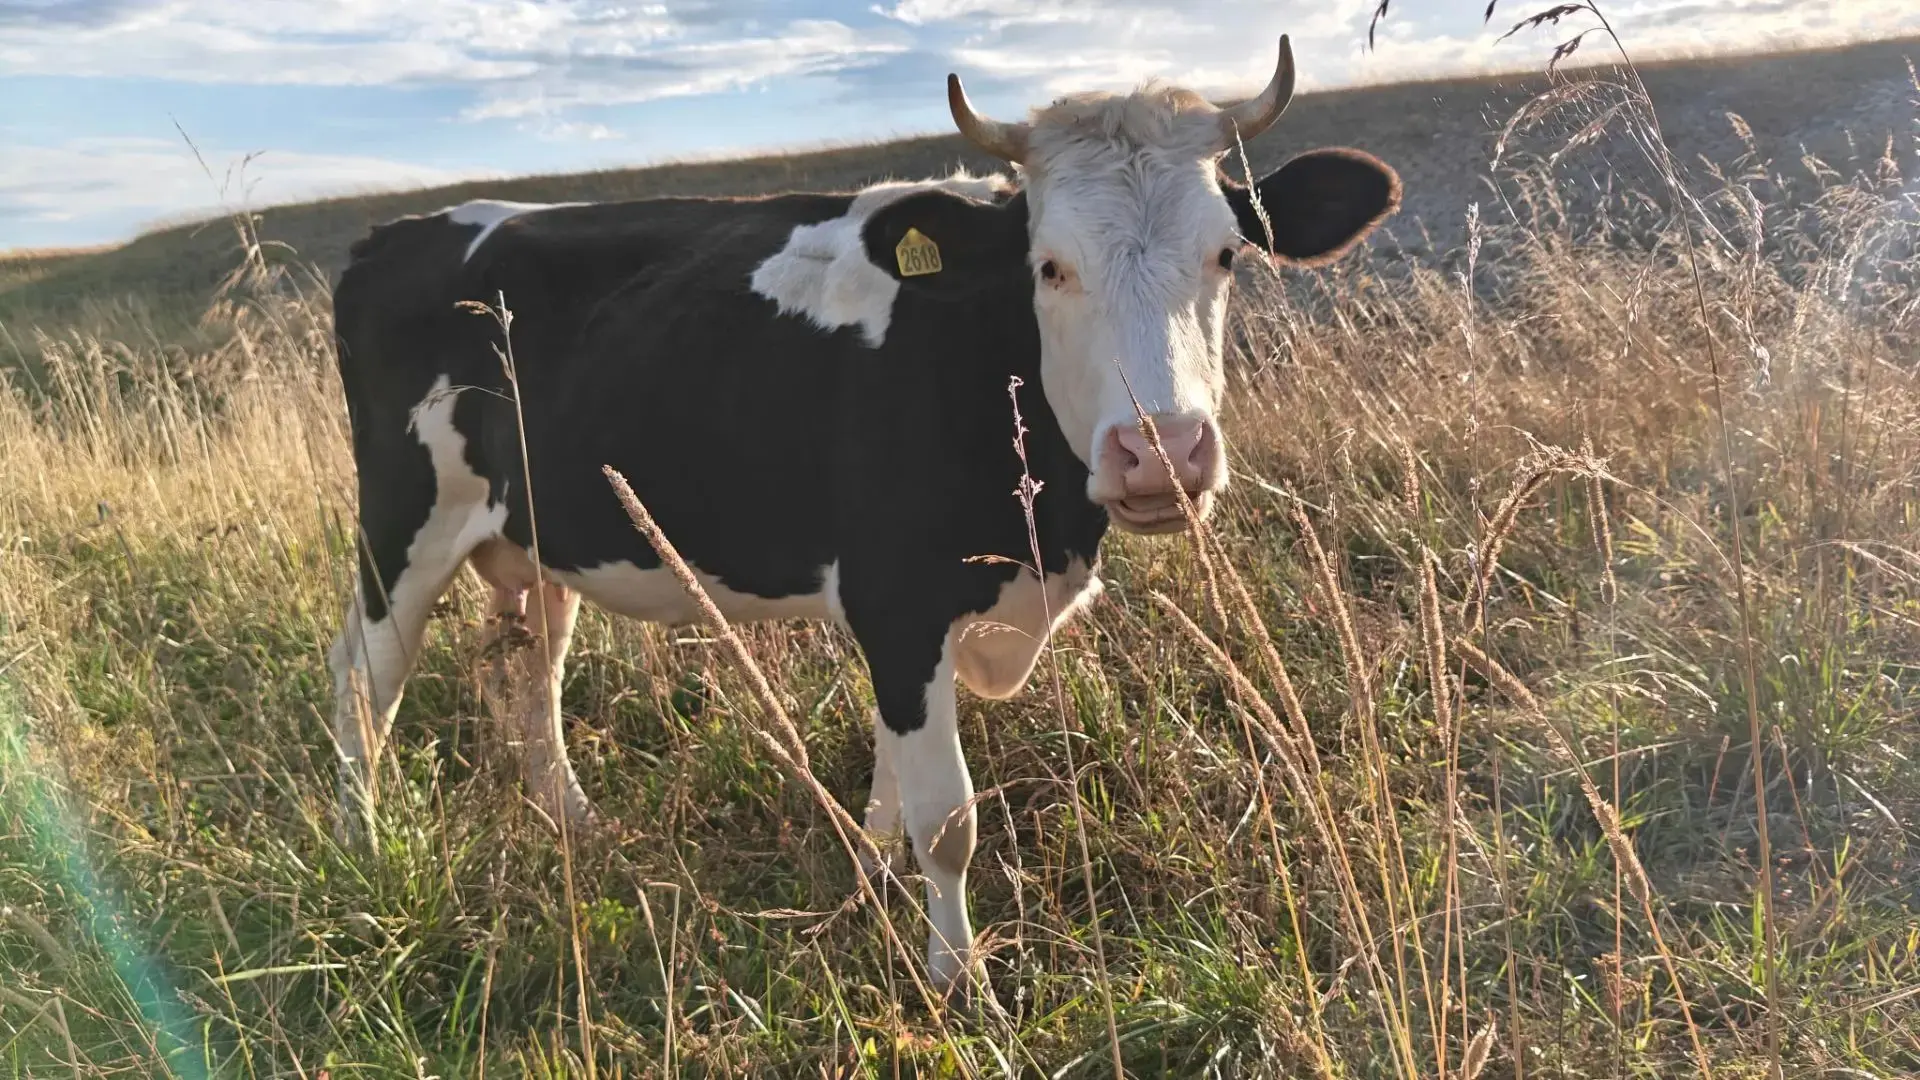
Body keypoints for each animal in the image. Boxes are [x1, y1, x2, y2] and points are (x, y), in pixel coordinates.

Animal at [326, 35, 1400, 994]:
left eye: (1226, 254)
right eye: (1049, 266)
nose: (1162, 453)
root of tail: (396, 232)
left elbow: (891, 789)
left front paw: (875, 884)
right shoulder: (898, 601)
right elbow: (946, 816)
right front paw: (958, 980)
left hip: (536, 540)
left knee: (531, 679)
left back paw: (577, 826)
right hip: (402, 525)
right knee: (366, 685)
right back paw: (362, 846)